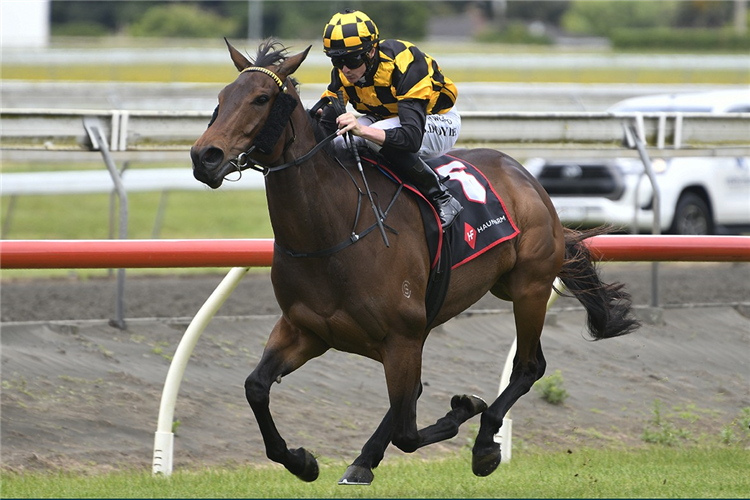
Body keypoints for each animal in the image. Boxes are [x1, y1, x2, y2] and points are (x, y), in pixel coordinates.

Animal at [189, 39, 640, 484]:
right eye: (222, 97)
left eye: (261, 99)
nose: (204, 157)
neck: (334, 232)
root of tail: (524, 175)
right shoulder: (306, 330)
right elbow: (255, 387)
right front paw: (302, 461)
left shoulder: (401, 337)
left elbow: (408, 432)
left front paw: (464, 409)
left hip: (529, 286)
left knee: (528, 367)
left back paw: (483, 443)